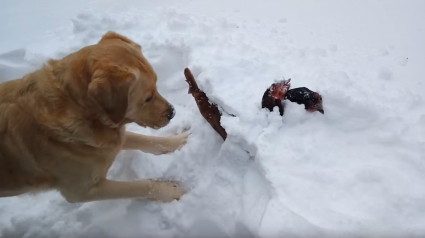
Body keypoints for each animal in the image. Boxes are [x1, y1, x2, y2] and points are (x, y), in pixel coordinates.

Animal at [0, 31, 189, 203]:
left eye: (157, 84)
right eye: (148, 98)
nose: (172, 112)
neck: (78, 106)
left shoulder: (111, 137)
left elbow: (147, 140)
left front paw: (180, 140)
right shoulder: (83, 191)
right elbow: (140, 186)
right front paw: (171, 190)